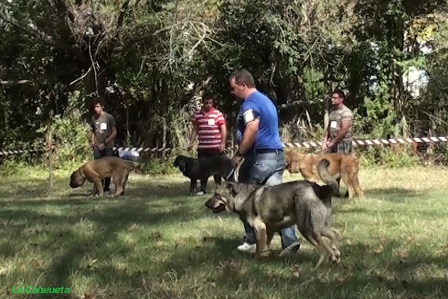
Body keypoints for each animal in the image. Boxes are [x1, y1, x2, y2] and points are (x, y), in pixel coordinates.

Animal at [205, 159, 342, 270]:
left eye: (216, 195)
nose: (206, 204)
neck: (243, 197)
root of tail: (320, 188)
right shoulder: (269, 231)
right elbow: (262, 248)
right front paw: (264, 257)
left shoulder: (259, 228)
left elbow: (260, 249)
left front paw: (257, 261)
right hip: (318, 227)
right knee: (335, 234)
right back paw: (336, 256)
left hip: (307, 228)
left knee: (324, 249)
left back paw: (317, 268)